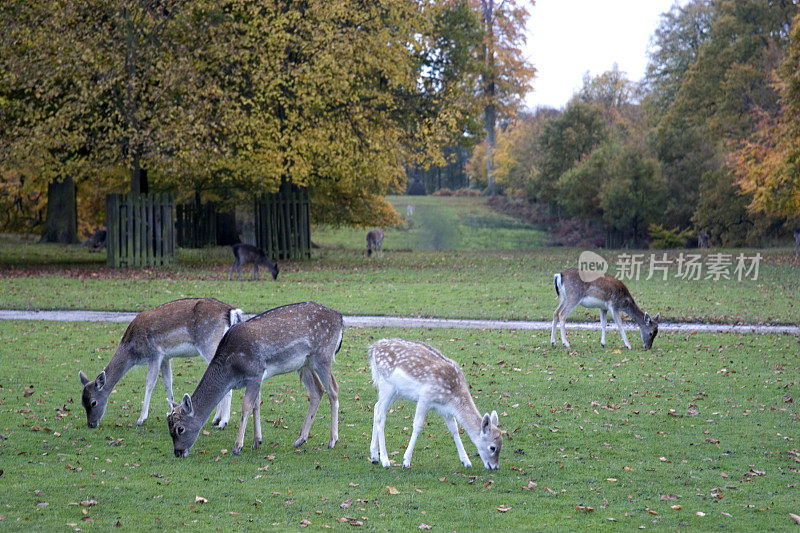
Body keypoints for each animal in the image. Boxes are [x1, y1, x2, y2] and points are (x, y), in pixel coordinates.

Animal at [81, 300, 245, 428]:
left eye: (93, 402)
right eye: (82, 403)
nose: (91, 424)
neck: (133, 351)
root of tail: (233, 312)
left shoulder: (154, 354)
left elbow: (150, 383)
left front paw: (141, 419)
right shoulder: (166, 357)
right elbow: (168, 382)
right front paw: (172, 412)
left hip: (209, 343)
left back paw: (223, 422)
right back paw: (216, 419)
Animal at [167, 302, 342, 456]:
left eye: (180, 428)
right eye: (169, 427)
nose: (178, 453)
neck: (231, 371)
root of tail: (339, 318)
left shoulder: (255, 372)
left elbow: (246, 407)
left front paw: (237, 447)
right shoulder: (256, 379)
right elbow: (256, 405)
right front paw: (257, 441)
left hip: (323, 356)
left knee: (333, 389)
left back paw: (332, 440)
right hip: (305, 364)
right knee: (317, 390)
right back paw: (300, 439)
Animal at [368, 338, 500, 468]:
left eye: (501, 445)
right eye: (492, 447)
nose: (495, 467)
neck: (452, 397)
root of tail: (373, 348)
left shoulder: (446, 410)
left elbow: (454, 428)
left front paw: (466, 461)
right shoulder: (425, 397)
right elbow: (417, 425)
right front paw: (406, 461)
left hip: (396, 391)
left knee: (376, 407)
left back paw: (374, 456)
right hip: (386, 385)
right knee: (381, 416)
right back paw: (385, 460)